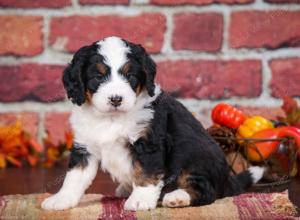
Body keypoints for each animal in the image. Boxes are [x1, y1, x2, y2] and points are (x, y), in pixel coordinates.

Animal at [41, 36, 262, 211]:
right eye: (98, 76)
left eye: (130, 76)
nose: (116, 99)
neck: (111, 118)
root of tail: (227, 181)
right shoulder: (85, 146)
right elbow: (74, 176)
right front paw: (61, 199)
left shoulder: (149, 142)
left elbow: (146, 173)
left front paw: (140, 200)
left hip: (198, 158)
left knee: (206, 191)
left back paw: (176, 197)